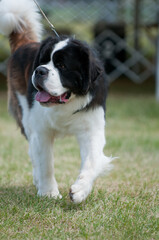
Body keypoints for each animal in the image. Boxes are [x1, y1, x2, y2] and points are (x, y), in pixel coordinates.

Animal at [0, 0, 113, 202]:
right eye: (41, 62)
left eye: (62, 66)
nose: (40, 71)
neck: (67, 102)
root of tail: (24, 45)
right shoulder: (41, 131)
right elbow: (46, 162)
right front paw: (48, 192)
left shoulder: (92, 129)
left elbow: (92, 160)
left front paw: (80, 190)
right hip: (25, 115)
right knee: (33, 151)